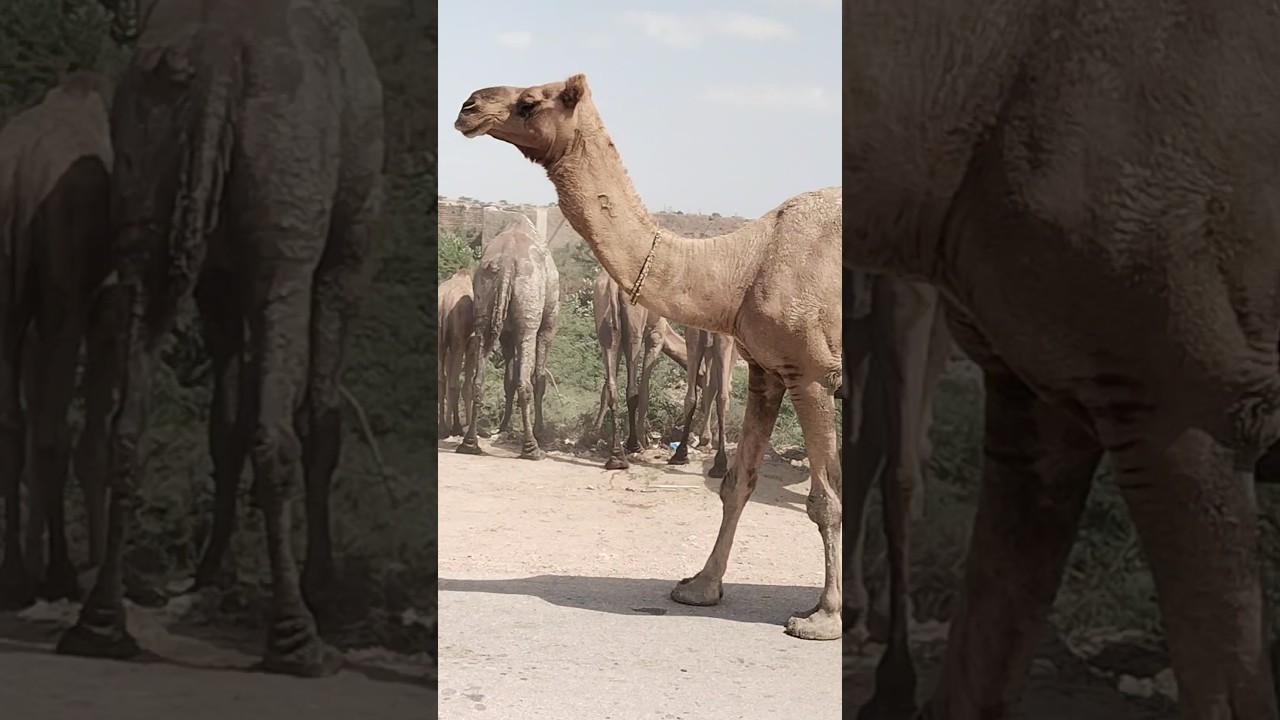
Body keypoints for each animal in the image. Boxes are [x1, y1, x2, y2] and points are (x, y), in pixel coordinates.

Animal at [59, 0, 386, 679]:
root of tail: (212, 68)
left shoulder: (216, 275)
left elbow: (223, 419)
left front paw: (214, 574)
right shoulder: (350, 246)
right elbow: (320, 414)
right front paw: (325, 591)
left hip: (146, 174)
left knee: (130, 425)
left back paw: (100, 627)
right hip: (287, 189)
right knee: (278, 426)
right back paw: (300, 643)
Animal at [456, 215, 559, 460]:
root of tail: (506, 265)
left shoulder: (506, 334)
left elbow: (508, 379)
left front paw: (504, 427)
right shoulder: (548, 323)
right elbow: (538, 377)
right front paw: (540, 431)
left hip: (484, 303)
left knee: (479, 380)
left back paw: (469, 444)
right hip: (528, 311)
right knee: (526, 381)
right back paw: (533, 449)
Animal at [590, 268, 689, 469]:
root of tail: (612, 285)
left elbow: (606, 387)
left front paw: (593, 435)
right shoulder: (656, 336)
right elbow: (645, 390)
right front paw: (645, 440)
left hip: (605, 328)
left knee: (612, 386)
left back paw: (614, 455)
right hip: (634, 330)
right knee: (632, 388)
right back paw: (634, 445)